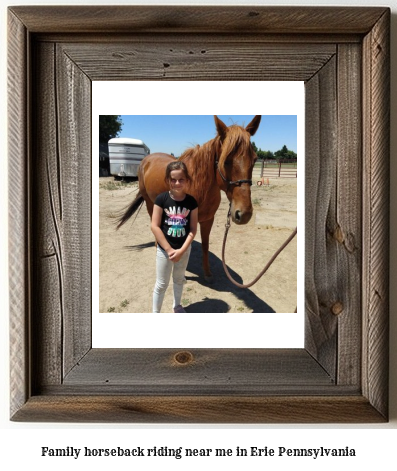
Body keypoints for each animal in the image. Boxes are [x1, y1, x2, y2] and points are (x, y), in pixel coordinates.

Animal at [116, 115, 262, 282]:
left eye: (254, 159)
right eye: (226, 161)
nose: (244, 214)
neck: (199, 186)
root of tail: (147, 160)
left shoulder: (207, 220)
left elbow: (205, 245)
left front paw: (207, 273)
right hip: (150, 203)